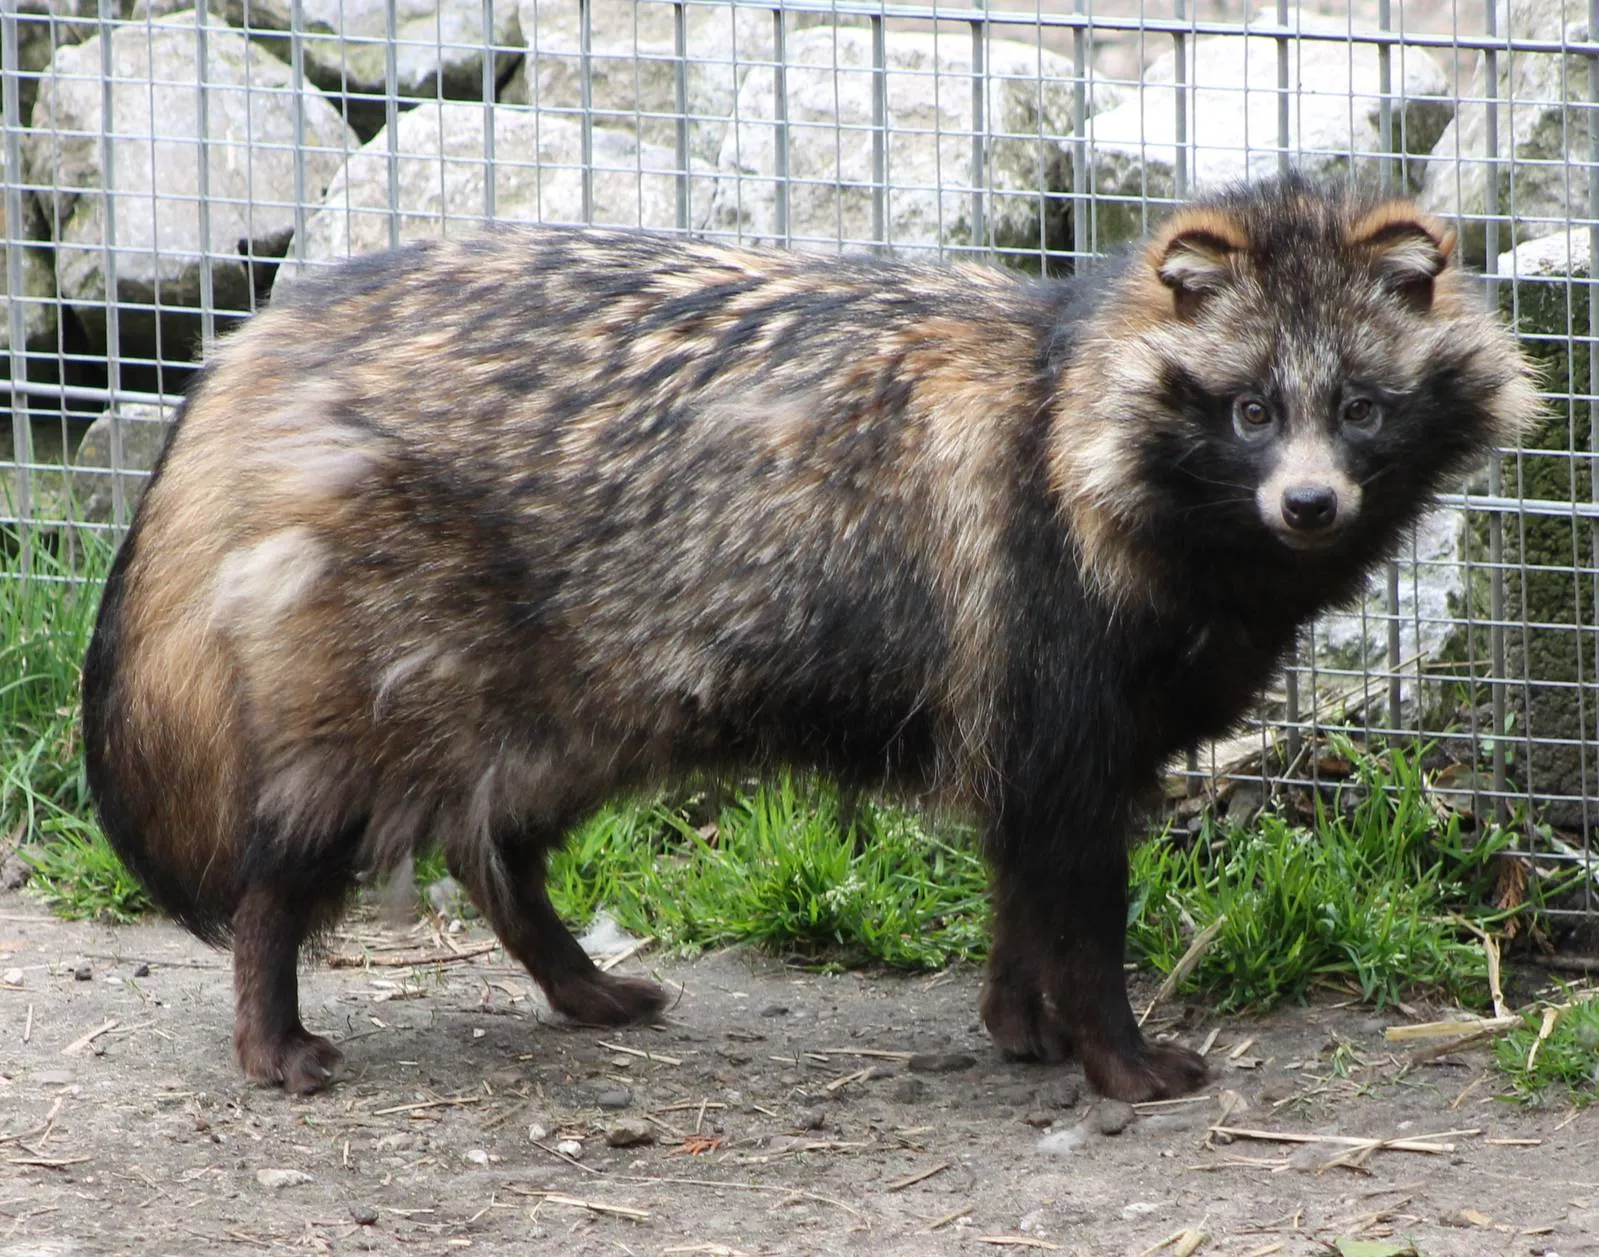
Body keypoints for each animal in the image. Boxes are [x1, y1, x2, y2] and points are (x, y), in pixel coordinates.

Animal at [80, 174, 1537, 1102]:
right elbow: (1073, 894)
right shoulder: (1047, 654)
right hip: (383, 652)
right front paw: (1111, 1047)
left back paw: (568, 970)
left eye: (1359, 407)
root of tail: (260, 343)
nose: (1310, 505)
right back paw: (271, 1004)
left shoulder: (1036, 705)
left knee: (498, 836)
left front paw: (1023, 1019)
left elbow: (1023, 878)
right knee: (299, 842)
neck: (1069, 406)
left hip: (576, 679)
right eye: (1248, 410)